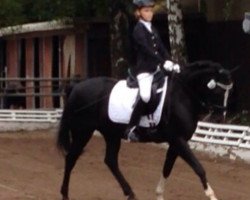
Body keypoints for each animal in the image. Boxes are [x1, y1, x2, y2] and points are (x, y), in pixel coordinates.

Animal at [56, 60, 232, 200]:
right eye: (218, 90)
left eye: (229, 92)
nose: (219, 120)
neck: (182, 96)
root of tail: (76, 86)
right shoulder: (178, 140)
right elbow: (199, 168)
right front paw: (212, 196)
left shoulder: (176, 143)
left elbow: (167, 169)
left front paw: (159, 195)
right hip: (82, 132)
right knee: (71, 158)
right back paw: (65, 194)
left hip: (111, 134)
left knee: (110, 161)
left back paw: (130, 193)